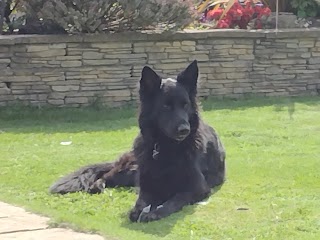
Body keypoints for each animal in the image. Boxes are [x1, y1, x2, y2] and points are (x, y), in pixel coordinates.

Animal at [49, 60, 225, 223]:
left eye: (185, 105)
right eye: (166, 106)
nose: (184, 130)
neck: (166, 148)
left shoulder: (198, 188)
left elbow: (175, 199)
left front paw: (156, 212)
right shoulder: (147, 184)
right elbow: (142, 199)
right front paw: (137, 210)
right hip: (132, 169)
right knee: (107, 175)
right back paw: (98, 185)